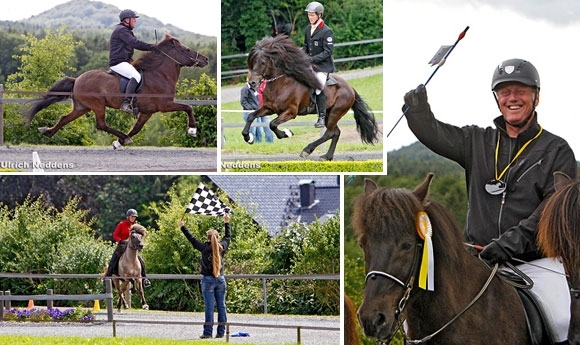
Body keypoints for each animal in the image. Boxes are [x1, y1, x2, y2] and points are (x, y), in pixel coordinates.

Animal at [26, 32, 211, 149]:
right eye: (186, 50)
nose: (206, 59)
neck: (159, 74)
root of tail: (77, 80)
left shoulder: (147, 112)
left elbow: (136, 129)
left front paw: (118, 143)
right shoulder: (164, 105)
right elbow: (188, 107)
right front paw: (192, 130)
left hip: (82, 107)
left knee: (65, 118)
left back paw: (47, 132)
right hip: (97, 105)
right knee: (101, 124)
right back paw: (123, 136)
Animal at [242, 34, 378, 161]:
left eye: (263, 62)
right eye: (253, 62)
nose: (252, 83)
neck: (280, 84)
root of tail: (350, 88)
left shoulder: (291, 112)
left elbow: (272, 124)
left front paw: (287, 133)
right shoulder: (269, 108)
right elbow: (251, 116)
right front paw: (249, 138)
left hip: (336, 112)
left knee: (329, 133)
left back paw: (307, 150)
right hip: (329, 113)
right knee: (335, 133)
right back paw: (327, 156)